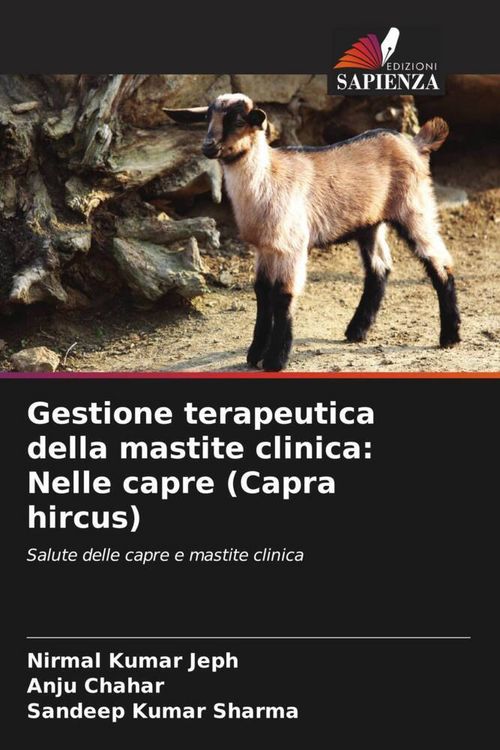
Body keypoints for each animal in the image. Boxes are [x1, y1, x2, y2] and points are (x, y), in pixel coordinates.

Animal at [165, 93, 461, 371]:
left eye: (238, 121)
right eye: (206, 118)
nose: (208, 146)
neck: (268, 178)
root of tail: (414, 143)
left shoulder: (292, 246)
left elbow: (282, 296)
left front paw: (275, 359)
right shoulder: (265, 248)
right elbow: (262, 293)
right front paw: (255, 353)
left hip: (414, 206)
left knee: (440, 261)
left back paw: (450, 336)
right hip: (369, 223)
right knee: (379, 268)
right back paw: (357, 330)